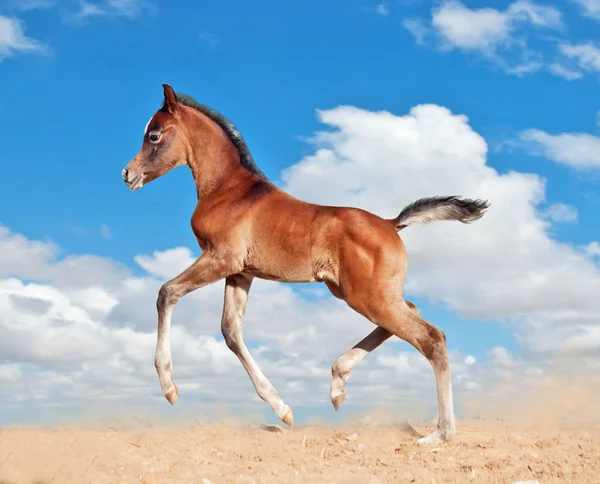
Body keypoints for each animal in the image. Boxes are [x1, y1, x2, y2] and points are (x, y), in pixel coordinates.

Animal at [120, 84, 488, 442]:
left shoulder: (220, 259)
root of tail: (391, 223)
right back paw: (338, 383)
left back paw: (441, 432)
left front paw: (169, 388)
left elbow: (167, 293)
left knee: (432, 337)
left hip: (367, 297)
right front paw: (282, 409)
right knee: (410, 312)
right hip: (359, 292)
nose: (127, 174)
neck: (228, 190)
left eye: (154, 135)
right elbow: (231, 331)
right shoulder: (240, 273)